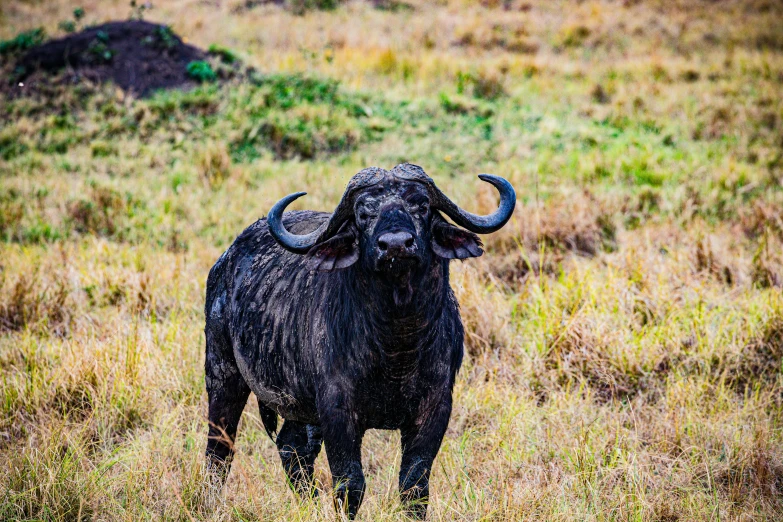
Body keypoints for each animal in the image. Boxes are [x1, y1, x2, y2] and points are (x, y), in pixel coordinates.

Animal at [205, 162, 516, 516]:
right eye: (363, 212)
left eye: (421, 205)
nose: (396, 245)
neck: (397, 344)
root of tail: (226, 261)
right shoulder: (337, 410)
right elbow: (350, 485)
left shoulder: (435, 407)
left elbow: (414, 485)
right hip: (222, 374)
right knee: (220, 449)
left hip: (300, 405)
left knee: (292, 447)